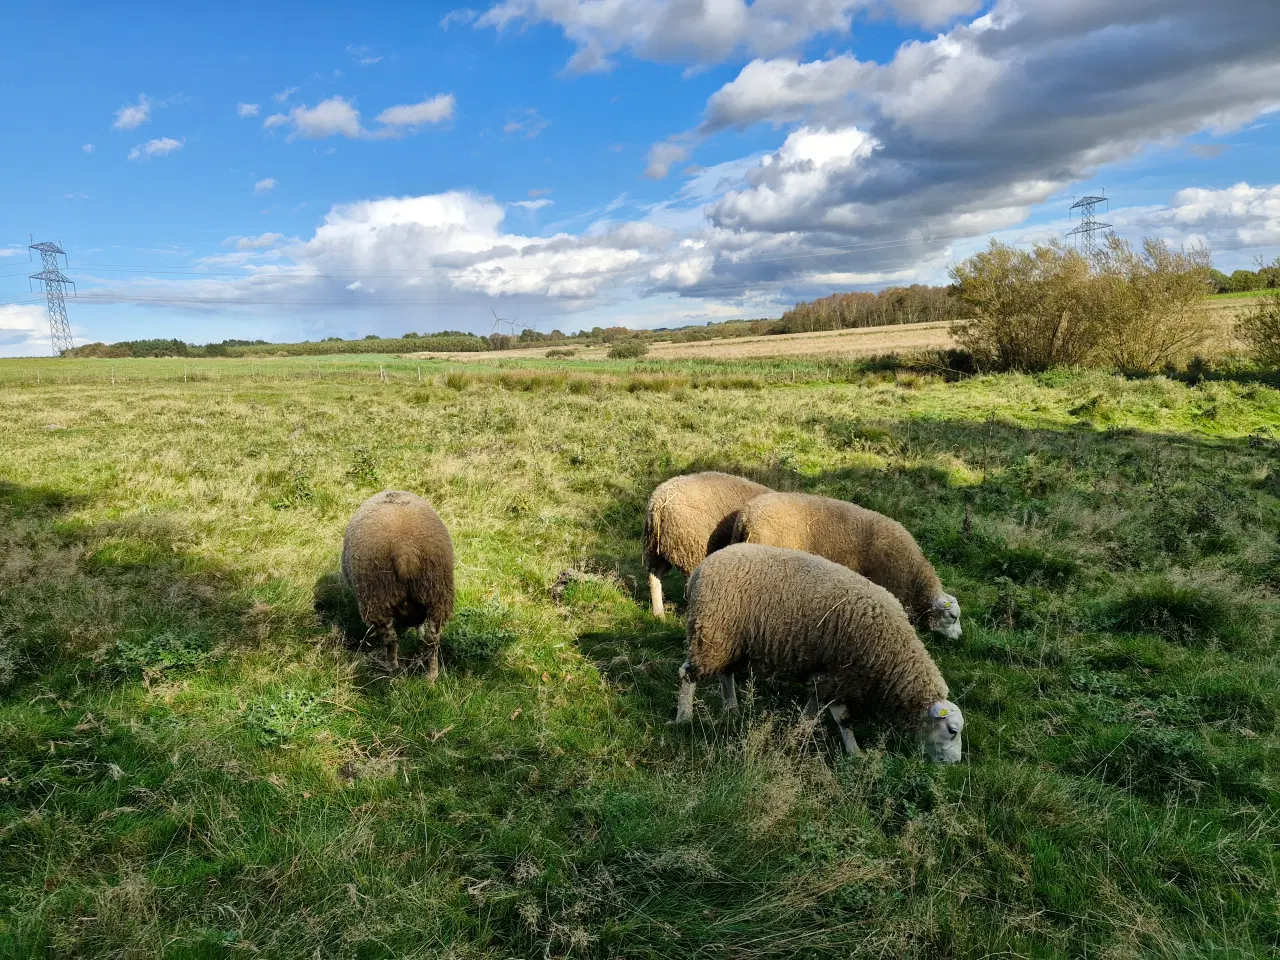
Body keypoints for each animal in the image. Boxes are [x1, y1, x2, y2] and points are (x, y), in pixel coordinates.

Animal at [343, 491, 458, 680]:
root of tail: (405, 549)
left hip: (376, 597)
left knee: (390, 639)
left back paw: (393, 670)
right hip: (438, 592)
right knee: (432, 638)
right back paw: (432, 674)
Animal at [675, 545, 962, 762]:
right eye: (951, 730)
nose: (954, 763)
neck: (894, 654)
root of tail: (702, 567)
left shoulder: (835, 677)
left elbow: (837, 718)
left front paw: (853, 753)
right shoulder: (836, 676)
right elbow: (823, 717)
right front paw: (799, 741)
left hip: (731, 641)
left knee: (726, 673)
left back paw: (731, 708)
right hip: (712, 632)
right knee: (688, 675)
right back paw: (684, 717)